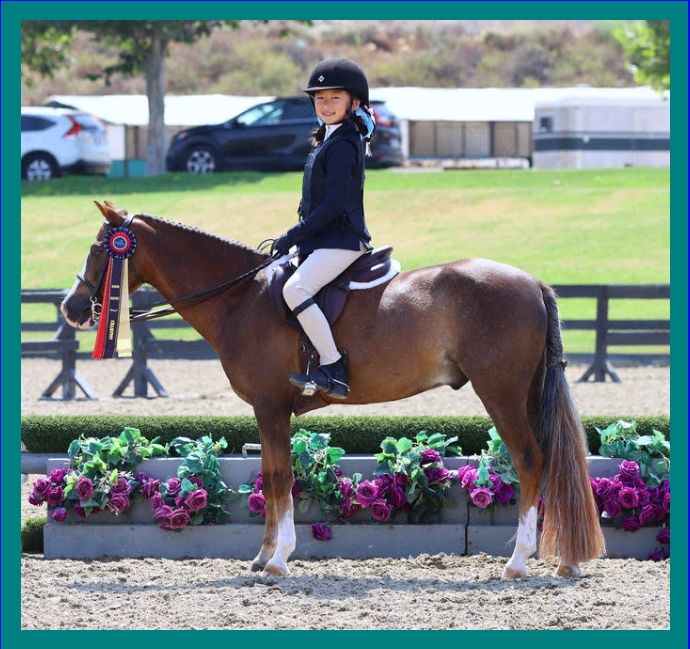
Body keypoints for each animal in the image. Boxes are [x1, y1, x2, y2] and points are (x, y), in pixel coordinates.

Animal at [60, 201, 600, 576]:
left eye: (100, 249)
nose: (71, 308)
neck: (241, 297)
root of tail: (531, 282)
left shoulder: (270, 406)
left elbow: (280, 479)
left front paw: (278, 561)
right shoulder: (268, 411)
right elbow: (271, 476)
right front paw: (262, 557)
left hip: (500, 392)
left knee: (530, 460)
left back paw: (518, 561)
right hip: (525, 392)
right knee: (550, 460)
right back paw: (563, 561)